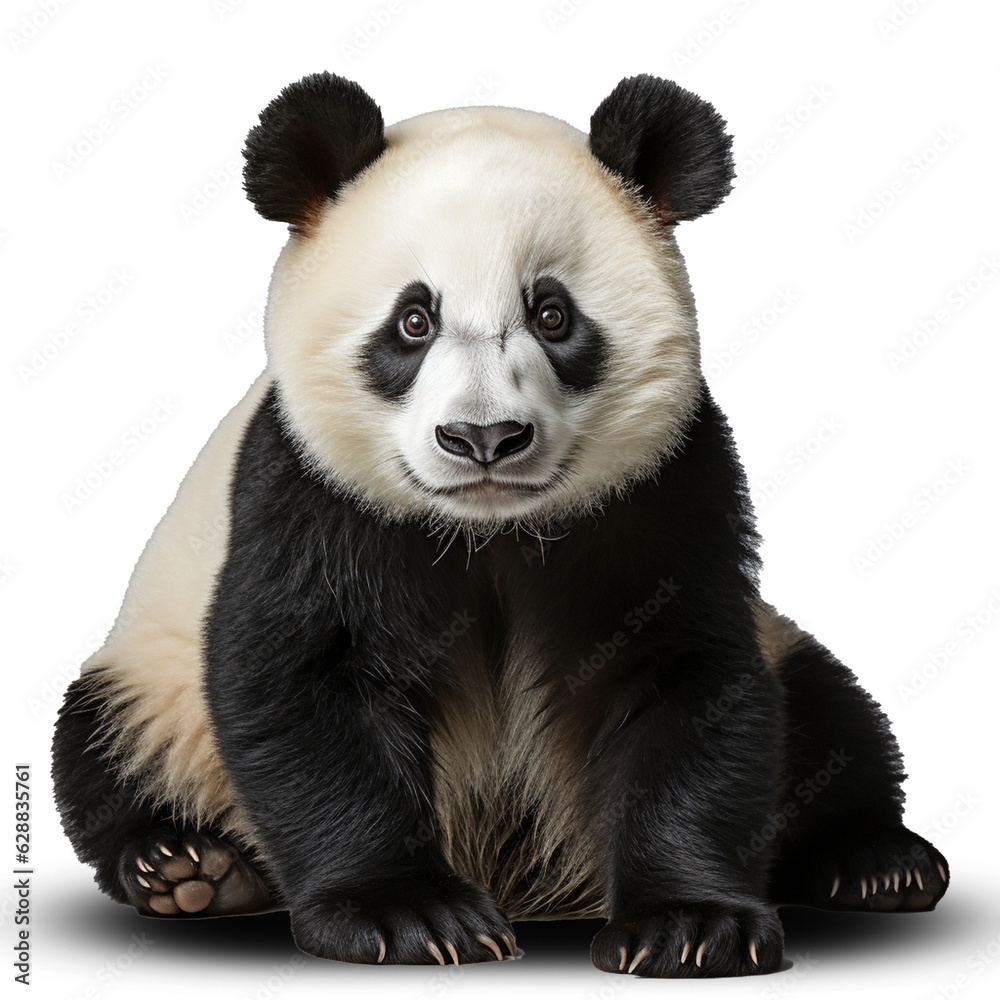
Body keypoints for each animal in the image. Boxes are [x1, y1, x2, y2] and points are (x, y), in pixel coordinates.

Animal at [53, 72, 949, 978]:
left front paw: (690, 925)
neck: (493, 531)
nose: (484, 438)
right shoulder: (308, 495)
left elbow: (684, 674)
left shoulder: (666, 490)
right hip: (152, 679)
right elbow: (304, 680)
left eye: (552, 315)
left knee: (831, 712)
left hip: (786, 649)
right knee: (103, 744)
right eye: (414, 321)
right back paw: (186, 868)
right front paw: (405, 914)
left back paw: (877, 862)